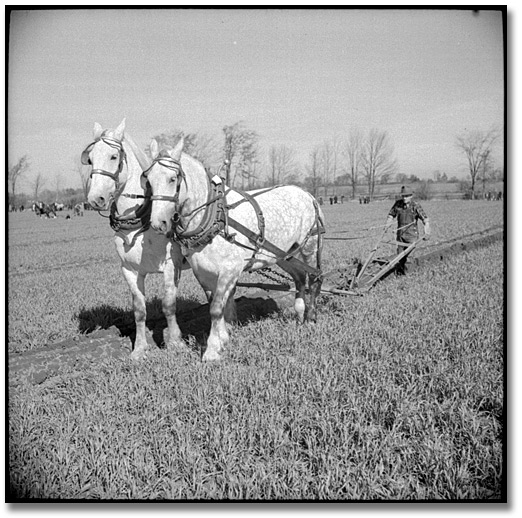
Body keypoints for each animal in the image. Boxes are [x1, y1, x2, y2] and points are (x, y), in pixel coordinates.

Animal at [84, 119, 190, 360]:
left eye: (114, 156)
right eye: (91, 158)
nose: (95, 199)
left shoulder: (172, 265)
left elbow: (169, 304)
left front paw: (175, 343)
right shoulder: (130, 270)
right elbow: (139, 310)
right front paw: (140, 349)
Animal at [142, 140, 320, 364]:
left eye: (172, 178)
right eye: (148, 180)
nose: (158, 223)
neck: (214, 217)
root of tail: (307, 194)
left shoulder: (230, 270)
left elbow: (216, 308)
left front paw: (211, 350)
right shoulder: (203, 271)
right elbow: (216, 304)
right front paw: (222, 338)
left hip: (309, 247)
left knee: (313, 278)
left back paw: (310, 318)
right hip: (282, 254)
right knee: (300, 277)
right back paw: (299, 314)